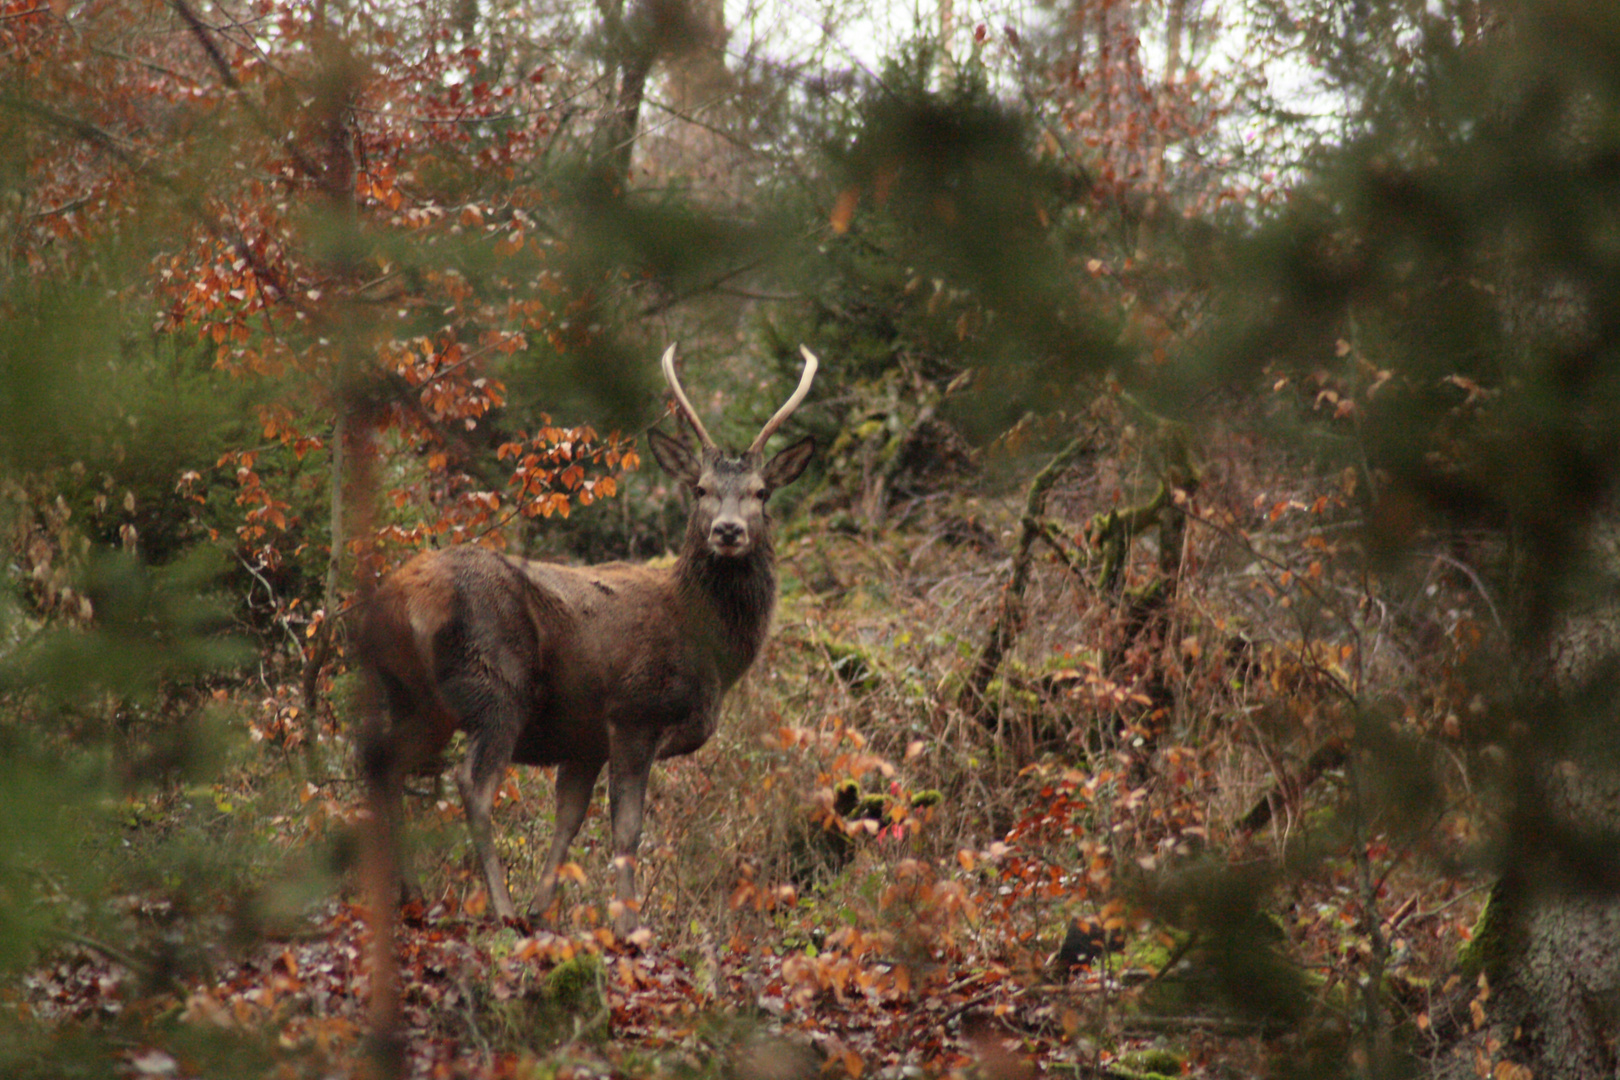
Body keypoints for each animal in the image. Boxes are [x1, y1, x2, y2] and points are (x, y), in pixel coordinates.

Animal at [359, 341, 816, 932]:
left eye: (761, 493)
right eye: (701, 489)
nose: (729, 530)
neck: (708, 649)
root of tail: (394, 604)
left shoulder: (584, 741)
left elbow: (568, 820)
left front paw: (542, 909)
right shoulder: (634, 713)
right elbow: (626, 829)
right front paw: (626, 925)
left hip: (416, 699)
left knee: (384, 764)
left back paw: (412, 897)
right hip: (495, 685)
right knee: (472, 785)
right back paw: (498, 907)